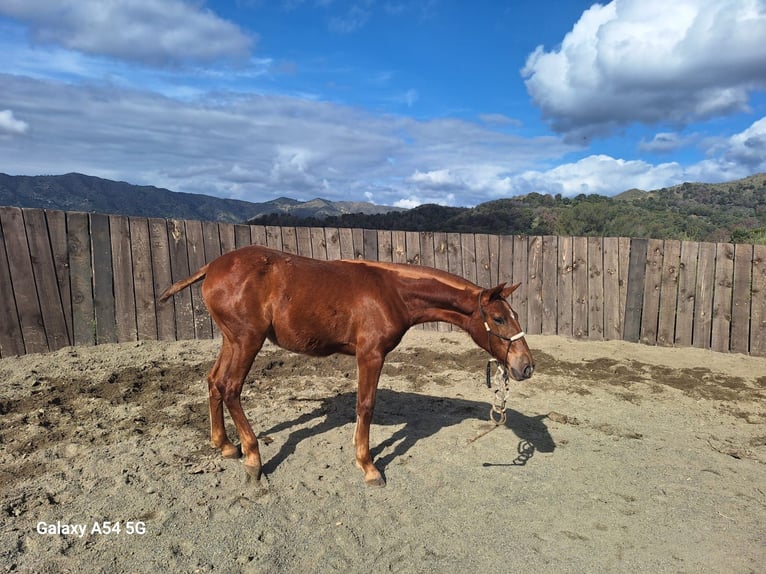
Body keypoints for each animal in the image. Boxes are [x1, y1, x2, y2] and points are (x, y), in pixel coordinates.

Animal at [160, 245, 536, 488]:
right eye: (499, 318)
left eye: (516, 315)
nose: (526, 366)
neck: (392, 292)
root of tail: (212, 267)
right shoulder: (370, 355)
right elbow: (365, 405)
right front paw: (368, 466)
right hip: (247, 340)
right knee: (231, 388)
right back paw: (253, 458)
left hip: (232, 340)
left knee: (213, 382)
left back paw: (224, 445)